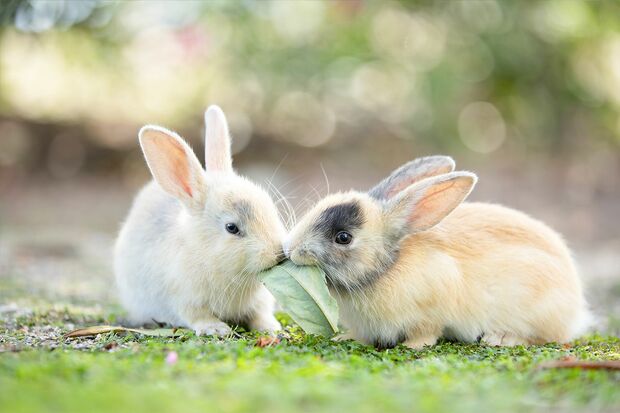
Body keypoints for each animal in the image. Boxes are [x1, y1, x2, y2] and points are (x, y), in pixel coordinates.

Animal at [114, 105, 284, 334]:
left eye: (270, 207)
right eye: (231, 227)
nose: (278, 253)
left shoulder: (260, 302)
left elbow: (260, 314)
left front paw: (272, 328)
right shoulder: (186, 300)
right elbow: (198, 316)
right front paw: (217, 329)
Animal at [284, 157, 588, 348]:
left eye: (343, 238)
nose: (290, 249)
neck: (387, 268)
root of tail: (576, 306)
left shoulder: (431, 311)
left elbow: (427, 333)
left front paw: (412, 347)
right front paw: (345, 338)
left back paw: (500, 339)